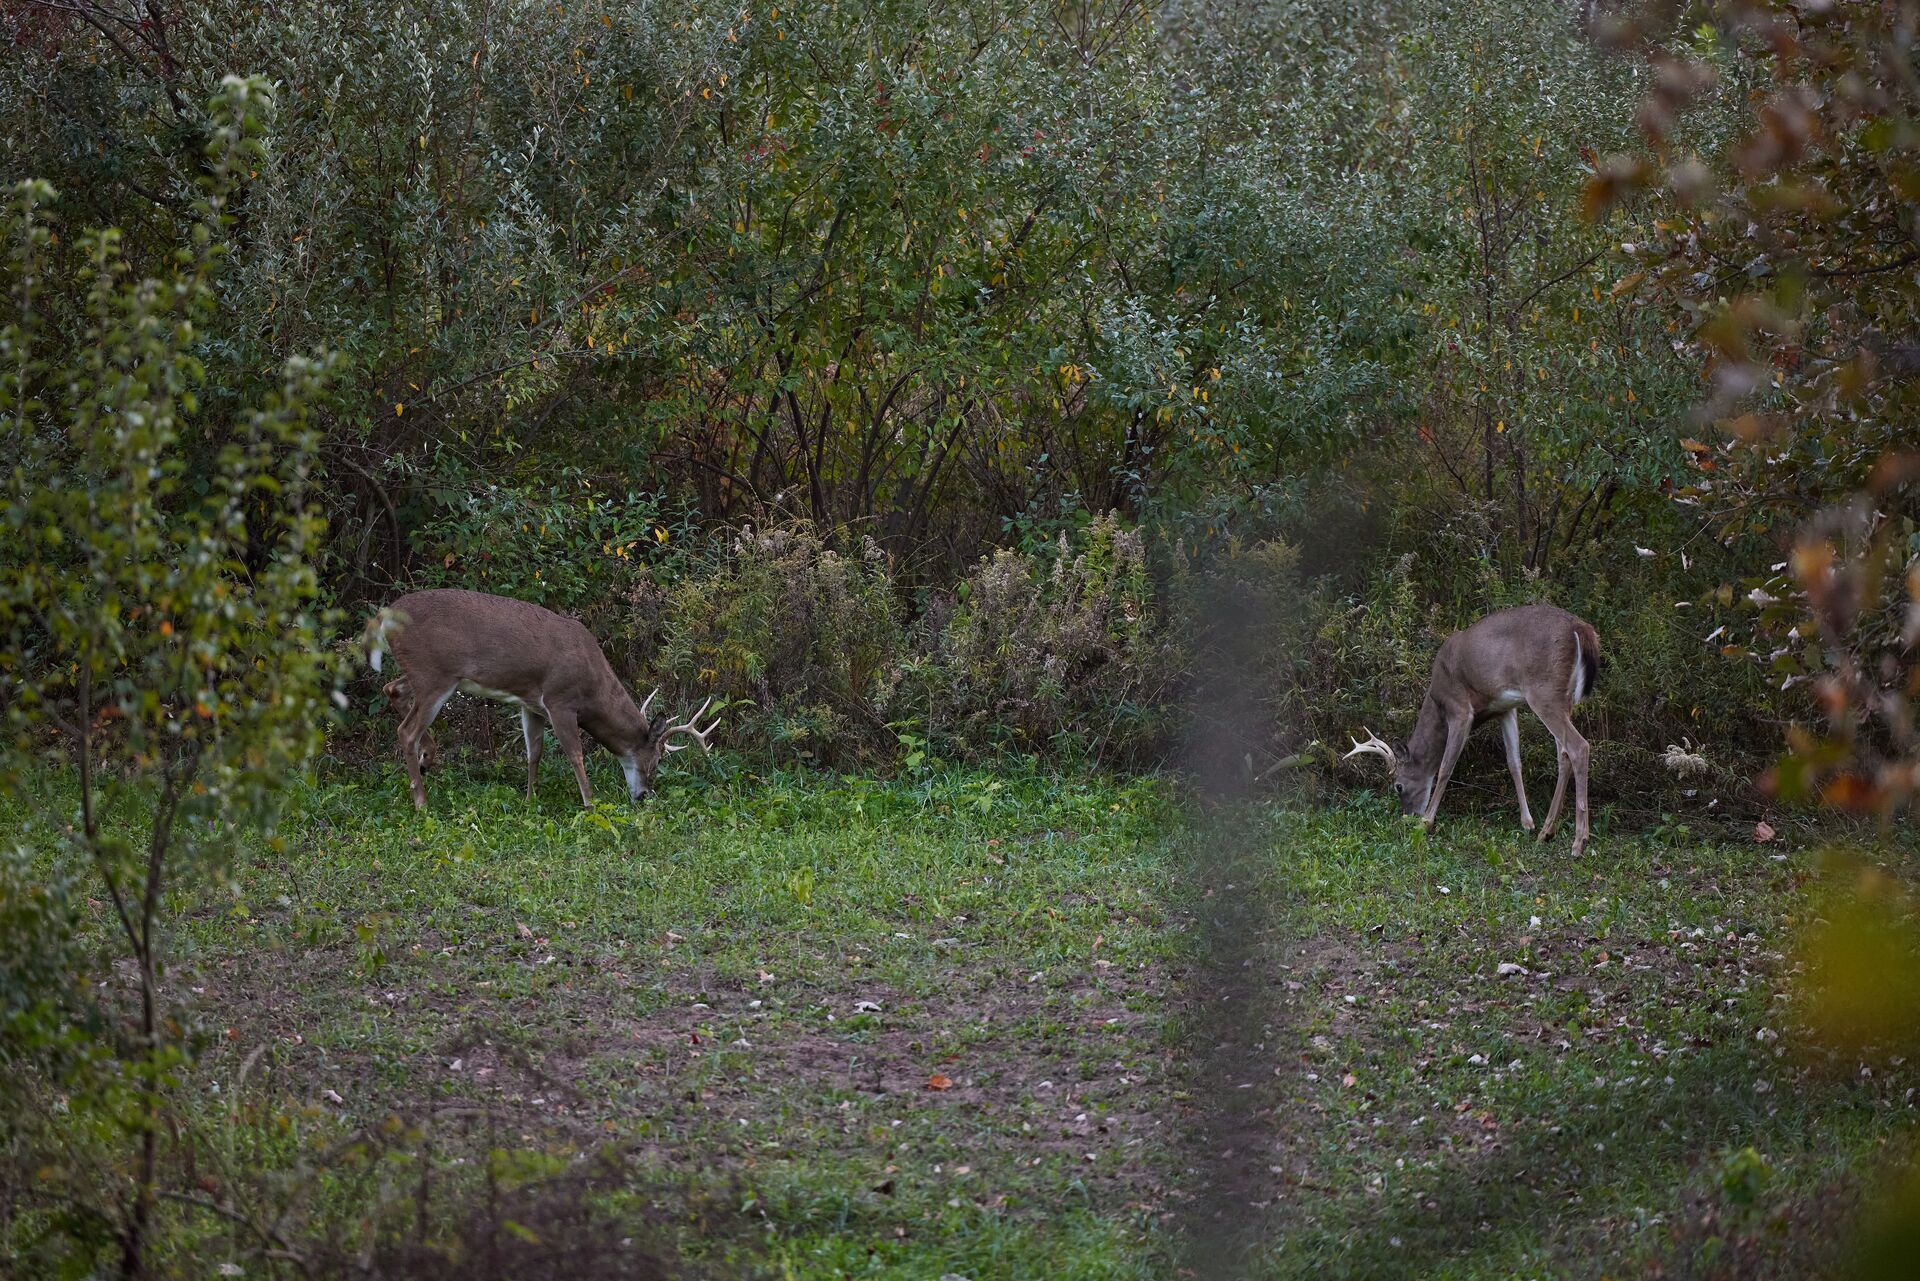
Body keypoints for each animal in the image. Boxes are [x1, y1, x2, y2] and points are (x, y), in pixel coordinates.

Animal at [364, 589, 721, 810]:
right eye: (657, 760)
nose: (644, 796)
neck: (594, 688)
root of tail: (384, 617)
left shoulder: (530, 703)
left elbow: (534, 752)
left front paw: (529, 799)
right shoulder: (560, 700)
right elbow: (575, 754)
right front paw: (590, 803)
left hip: (424, 676)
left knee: (391, 689)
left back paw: (427, 760)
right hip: (434, 675)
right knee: (406, 731)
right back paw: (421, 802)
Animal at [1342, 603, 1601, 856]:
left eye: (1398, 786)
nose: (1408, 815)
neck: (1437, 700)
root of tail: (1580, 627)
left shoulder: (1460, 709)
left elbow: (1446, 766)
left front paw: (1427, 822)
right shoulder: (1505, 709)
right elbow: (1514, 762)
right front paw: (1527, 823)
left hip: (1543, 691)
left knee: (1579, 747)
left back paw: (1579, 842)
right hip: (1562, 698)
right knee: (1563, 754)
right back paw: (1547, 832)